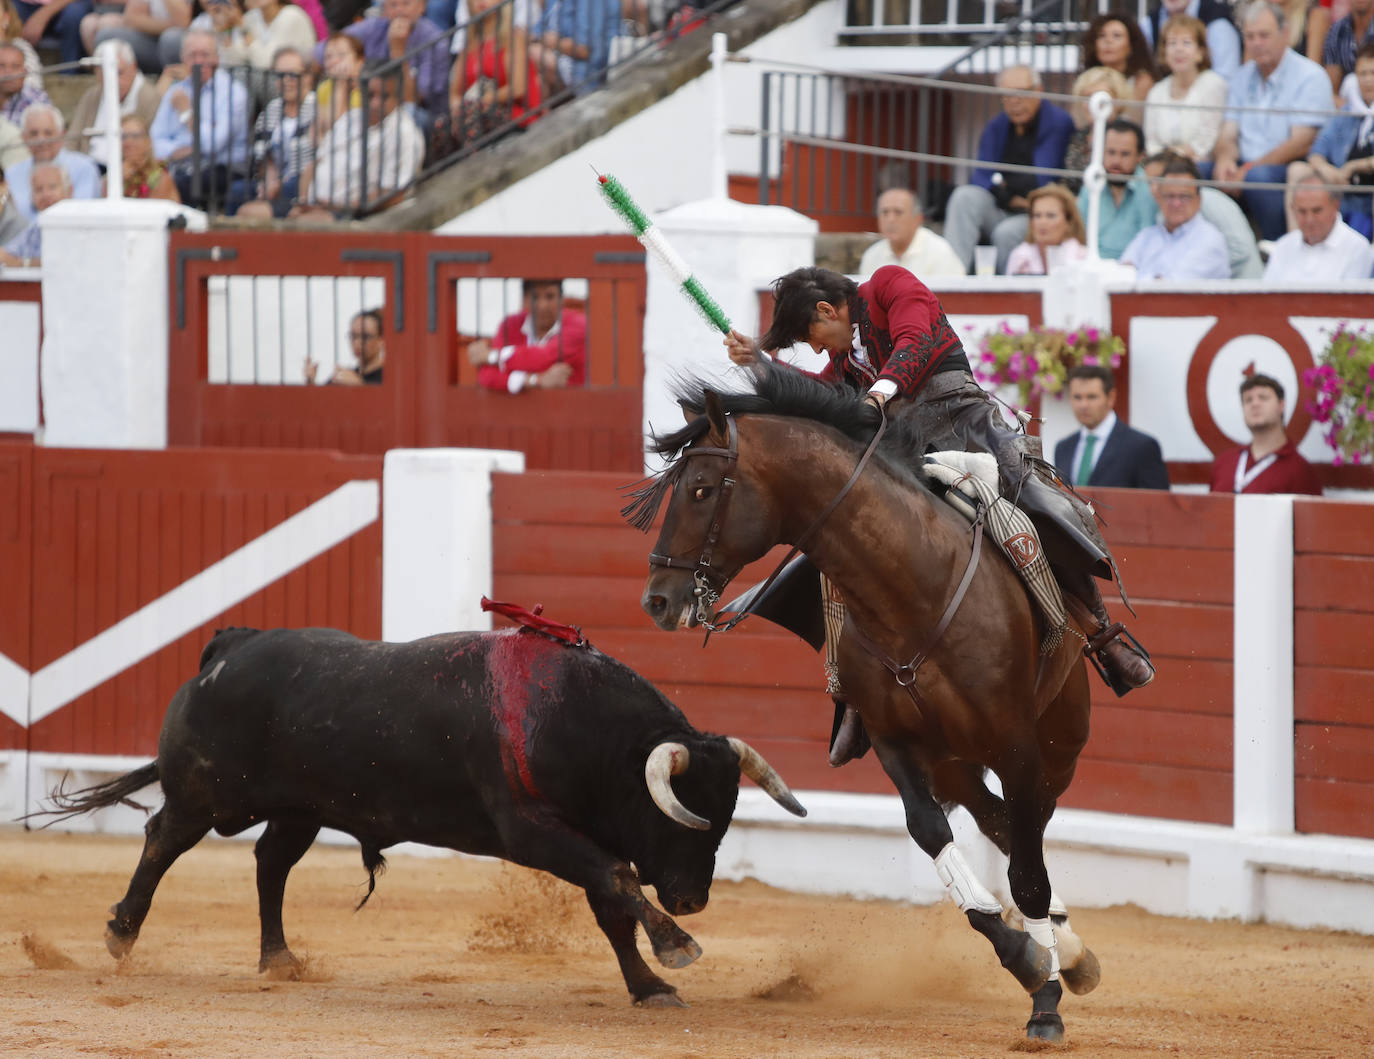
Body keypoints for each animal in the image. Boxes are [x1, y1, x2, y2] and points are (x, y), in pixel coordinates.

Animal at [40, 626, 802, 1005]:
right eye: (682, 814)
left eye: (727, 816)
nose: (692, 899)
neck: (577, 720)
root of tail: (229, 645)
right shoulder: (535, 830)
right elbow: (617, 880)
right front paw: (677, 946)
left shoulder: (578, 835)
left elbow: (613, 905)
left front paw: (649, 986)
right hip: (205, 794)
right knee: (162, 839)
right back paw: (120, 933)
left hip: (301, 809)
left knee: (269, 863)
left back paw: (280, 959)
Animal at [634, 362, 1104, 1043]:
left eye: (700, 488)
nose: (658, 600)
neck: (912, 588)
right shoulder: (894, 742)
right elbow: (933, 834)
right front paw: (1023, 957)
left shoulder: (1016, 742)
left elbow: (1027, 869)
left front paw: (1045, 1000)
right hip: (952, 761)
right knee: (996, 818)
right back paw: (1064, 952)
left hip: (1058, 741)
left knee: (1026, 827)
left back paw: (1066, 952)